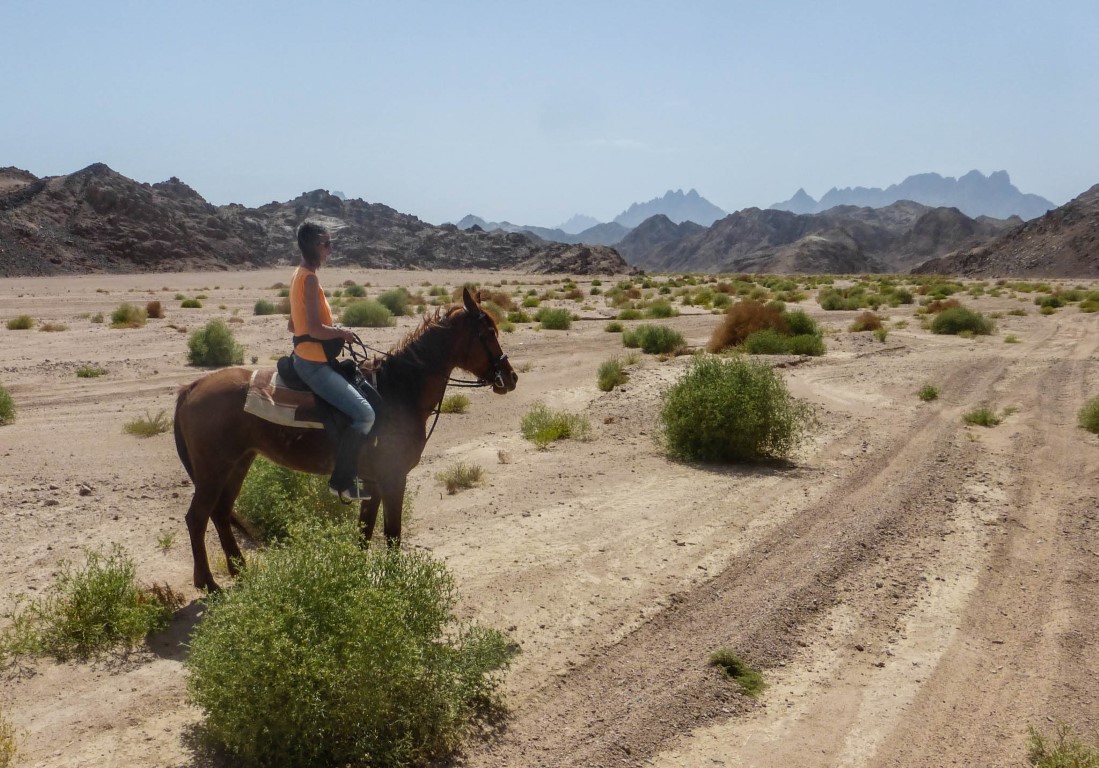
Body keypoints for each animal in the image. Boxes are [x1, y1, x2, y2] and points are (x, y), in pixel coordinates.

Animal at [173, 287, 518, 592]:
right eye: (488, 332)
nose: (511, 378)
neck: (399, 390)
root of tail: (192, 387)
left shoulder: (373, 482)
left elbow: (365, 533)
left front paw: (356, 576)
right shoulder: (393, 478)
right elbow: (392, 534)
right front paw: (395, 584)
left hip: (239, 463)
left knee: (220, 513)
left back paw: (240, 571)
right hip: (214, 470)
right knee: (197, 518)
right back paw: (208, 584)